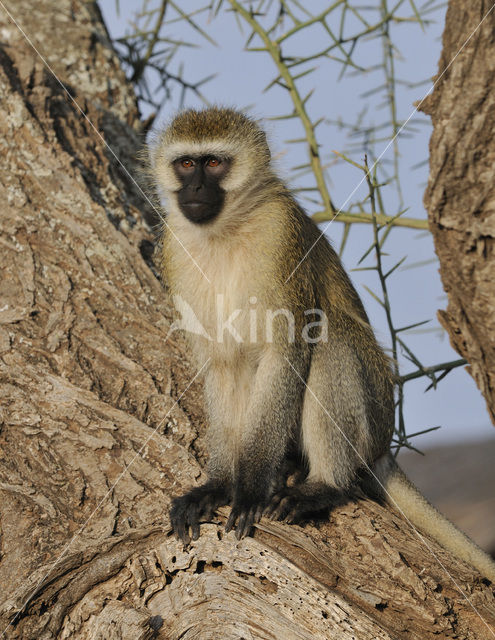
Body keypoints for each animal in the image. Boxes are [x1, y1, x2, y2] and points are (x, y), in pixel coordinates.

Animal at [154, 107, 495, 584]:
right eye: (186, 164)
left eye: (214, 163)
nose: (197, 188)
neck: (225, 233)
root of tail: (384, 444)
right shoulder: (174, 247)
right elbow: (222, 364)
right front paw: (218, 485)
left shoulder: (281, 235)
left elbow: (288, 350)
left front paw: (251, 486)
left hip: (375, 411)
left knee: (330, 339)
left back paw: (325, 486)